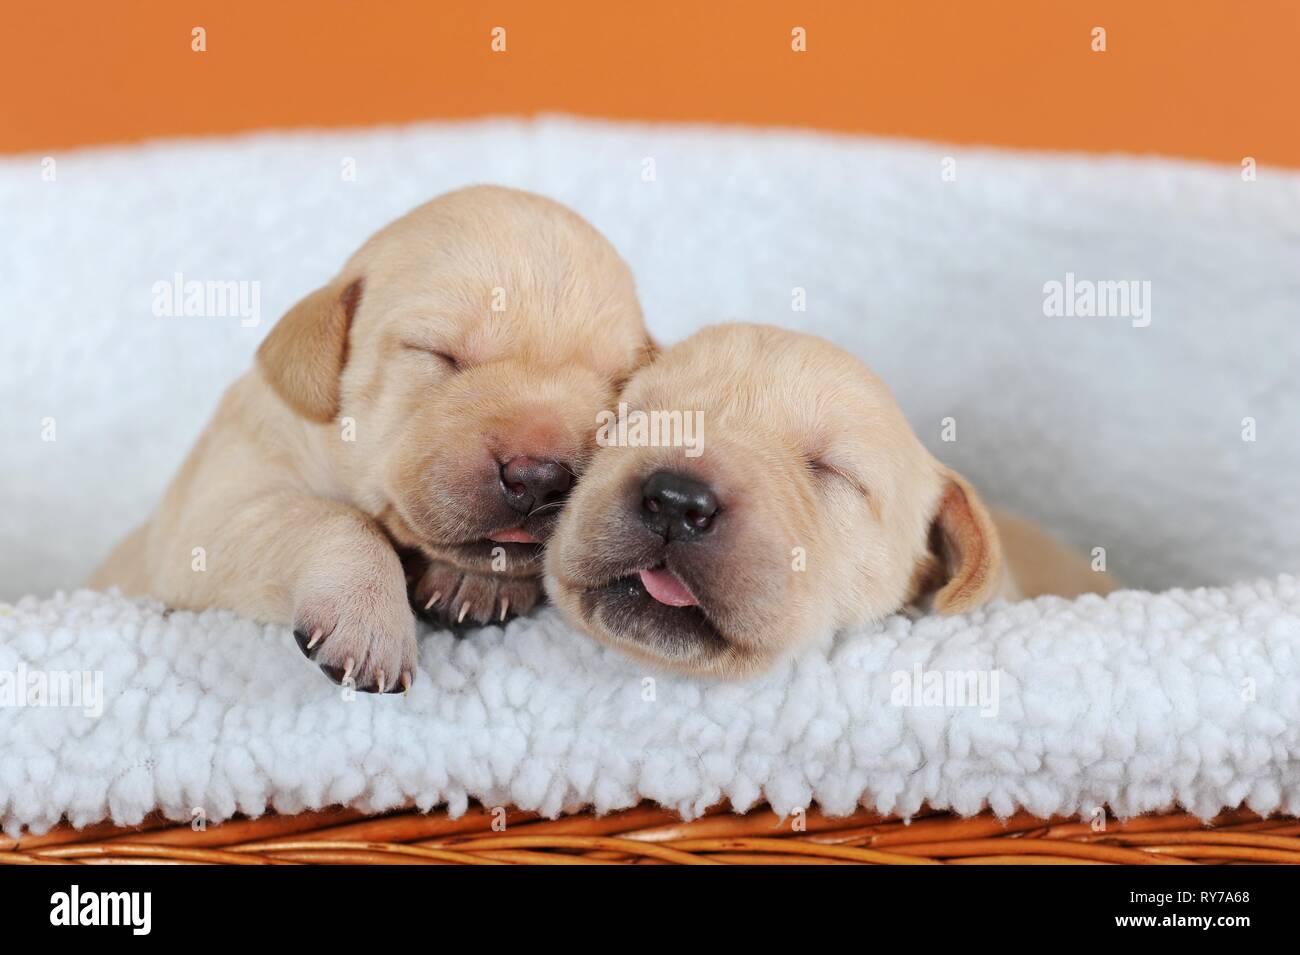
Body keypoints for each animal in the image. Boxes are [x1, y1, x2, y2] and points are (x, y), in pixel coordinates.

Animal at [94, 187, 650, 696]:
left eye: (618, 388)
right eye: (438, 354)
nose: (539, 478)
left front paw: (476, 580)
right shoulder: (209, 520)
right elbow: (337, 518)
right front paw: (367, 617)